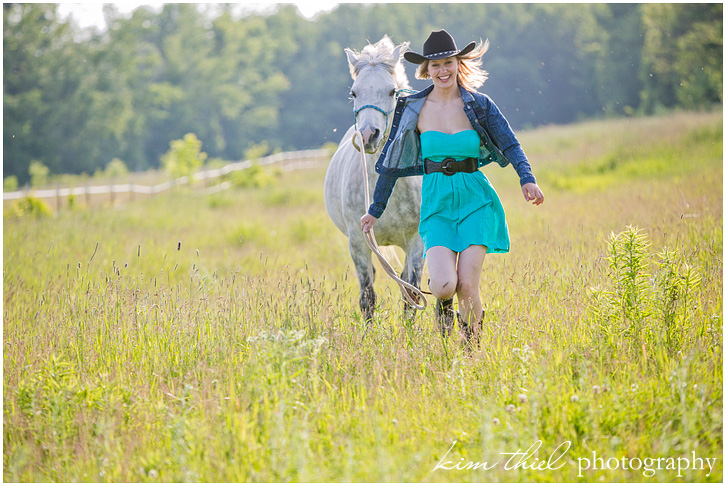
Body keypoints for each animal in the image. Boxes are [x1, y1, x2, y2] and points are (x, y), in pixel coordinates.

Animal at [326, 36, 426, 320]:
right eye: (354, 93)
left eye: (392, 91)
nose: (368, 135)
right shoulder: (358, 243)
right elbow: (367, 297)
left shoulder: (416, 242)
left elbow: (412, 295)